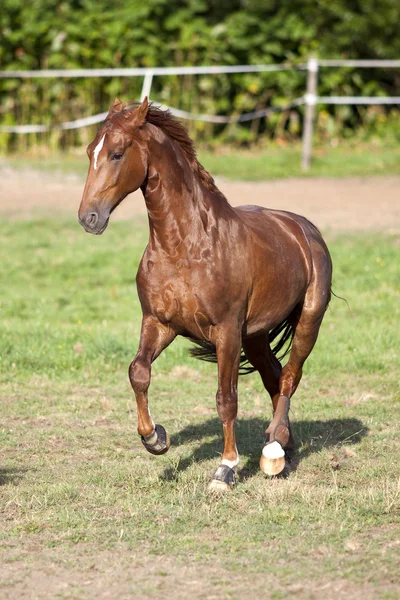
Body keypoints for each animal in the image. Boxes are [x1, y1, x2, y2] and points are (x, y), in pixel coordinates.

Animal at [77, 99, 332, 492]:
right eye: (91, 151)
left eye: (117, 153)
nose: (88, 217)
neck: (185, 247)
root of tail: (304, 229)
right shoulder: (158, 322)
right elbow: (138, 372)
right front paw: (155, 438)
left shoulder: (226, 332)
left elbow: (226, 399)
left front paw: (225, 470)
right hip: (255, 336)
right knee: (274, 378)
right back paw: (279, 448)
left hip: (308, 321)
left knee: (290, 376)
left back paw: (272, 451)